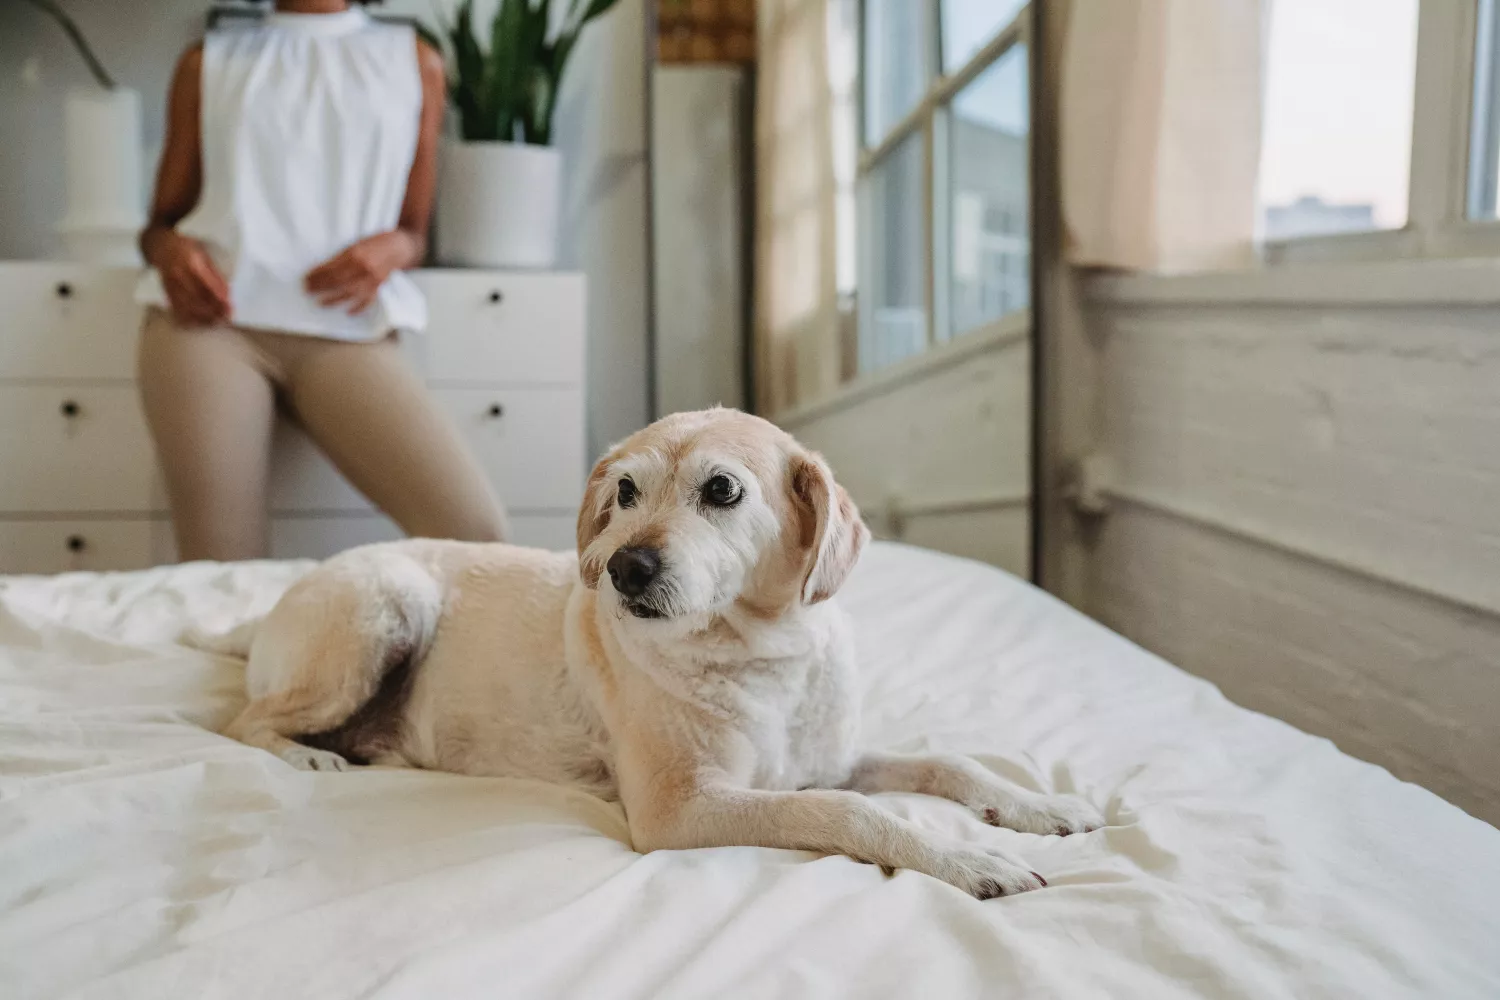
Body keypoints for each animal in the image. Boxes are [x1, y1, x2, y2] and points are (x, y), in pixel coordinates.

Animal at [217, 407, 1104, 899]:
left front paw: (1038, 806)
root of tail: (267, 613)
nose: (622, 568)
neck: (764, 658)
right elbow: (849, 812)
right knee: (244, 721)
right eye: (624, 493)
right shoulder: (683, 809)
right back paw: (307, 757)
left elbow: (947, 763)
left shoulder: (826, 758)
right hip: (385, 607)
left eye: (722, 490)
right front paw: (967, 859)